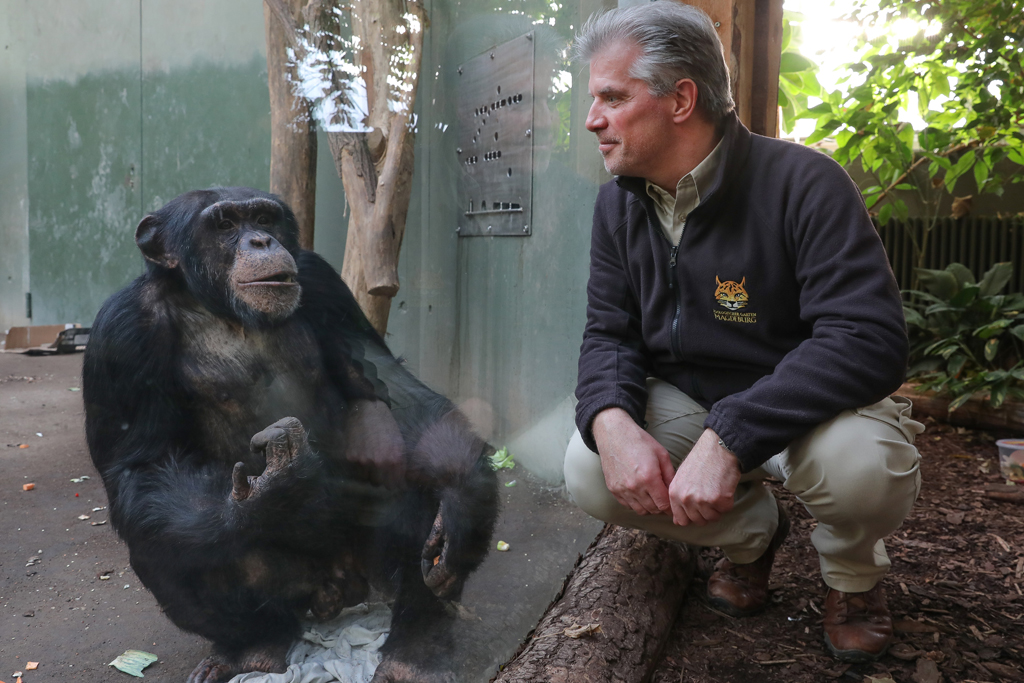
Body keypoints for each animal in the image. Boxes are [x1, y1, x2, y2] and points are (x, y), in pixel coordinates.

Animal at [82, 187, 499, 683]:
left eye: (264, 218)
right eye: (224, 225)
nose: (261, 241)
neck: (222, 308)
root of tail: (337, 591)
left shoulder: (322, 281)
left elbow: (385, 384)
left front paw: (468, 498)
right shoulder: (121, 333)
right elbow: (139, 466)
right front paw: (272, 494)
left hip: (368, 569)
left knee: (412, 475)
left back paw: (415, 650)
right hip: (296, 588)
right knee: (161, 542)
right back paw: (253, 648)